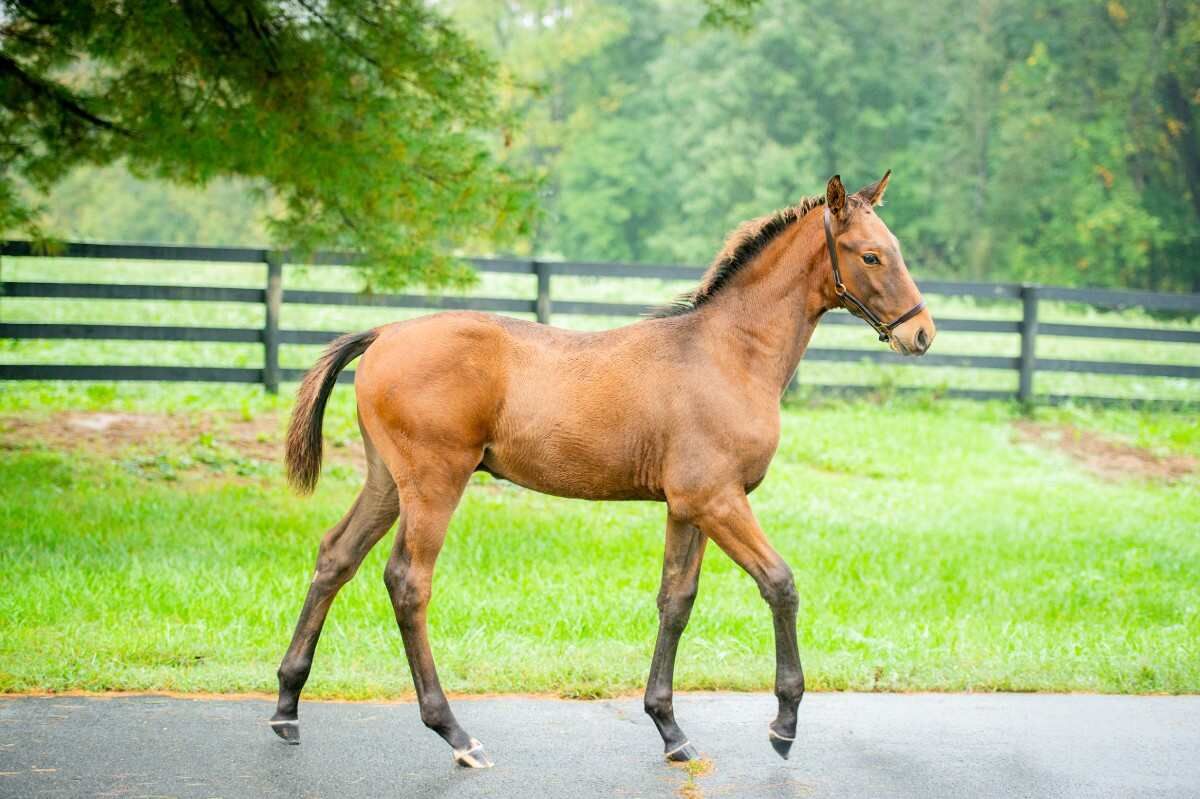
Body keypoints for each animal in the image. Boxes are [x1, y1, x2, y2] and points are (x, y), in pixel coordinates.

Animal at [268, 172, 935, 767]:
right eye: (871, 255)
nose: (922, 334)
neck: (727, 353)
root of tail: (384, 332)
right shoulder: (719, 500)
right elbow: (780, 584)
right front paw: (784, 723)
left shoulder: (688, 507)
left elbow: (676, 600)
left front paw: (670, 729)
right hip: (434, 484)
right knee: (409, 582)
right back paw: (455, 733)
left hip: (386, 482)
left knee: (335, 557)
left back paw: (286, 706)